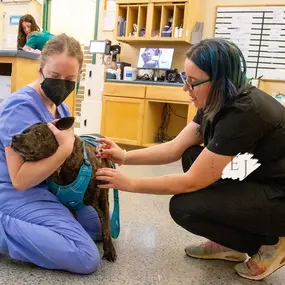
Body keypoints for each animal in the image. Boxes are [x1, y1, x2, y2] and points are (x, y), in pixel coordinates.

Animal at [10, 116, 116, 262]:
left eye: (38, 133)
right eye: (24, 131)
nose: (14, 137)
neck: (62, 166)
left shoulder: (101, 203)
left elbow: (106, 227)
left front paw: (109, 250)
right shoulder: (67, 205)